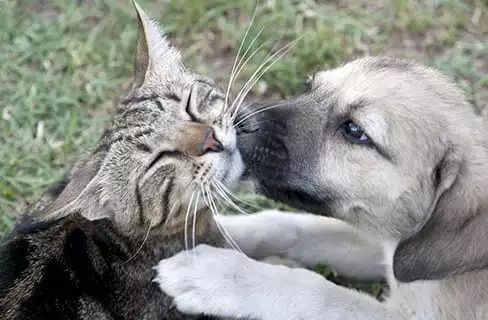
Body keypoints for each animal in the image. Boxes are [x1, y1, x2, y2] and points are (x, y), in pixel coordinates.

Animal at [154, 58, 488, 320]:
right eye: (309, 87)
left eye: (355, 130)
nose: (236, 119)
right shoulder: (384, 241)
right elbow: (292, 226)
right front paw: (216, 229)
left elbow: (317, 293)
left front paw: (221, 275)